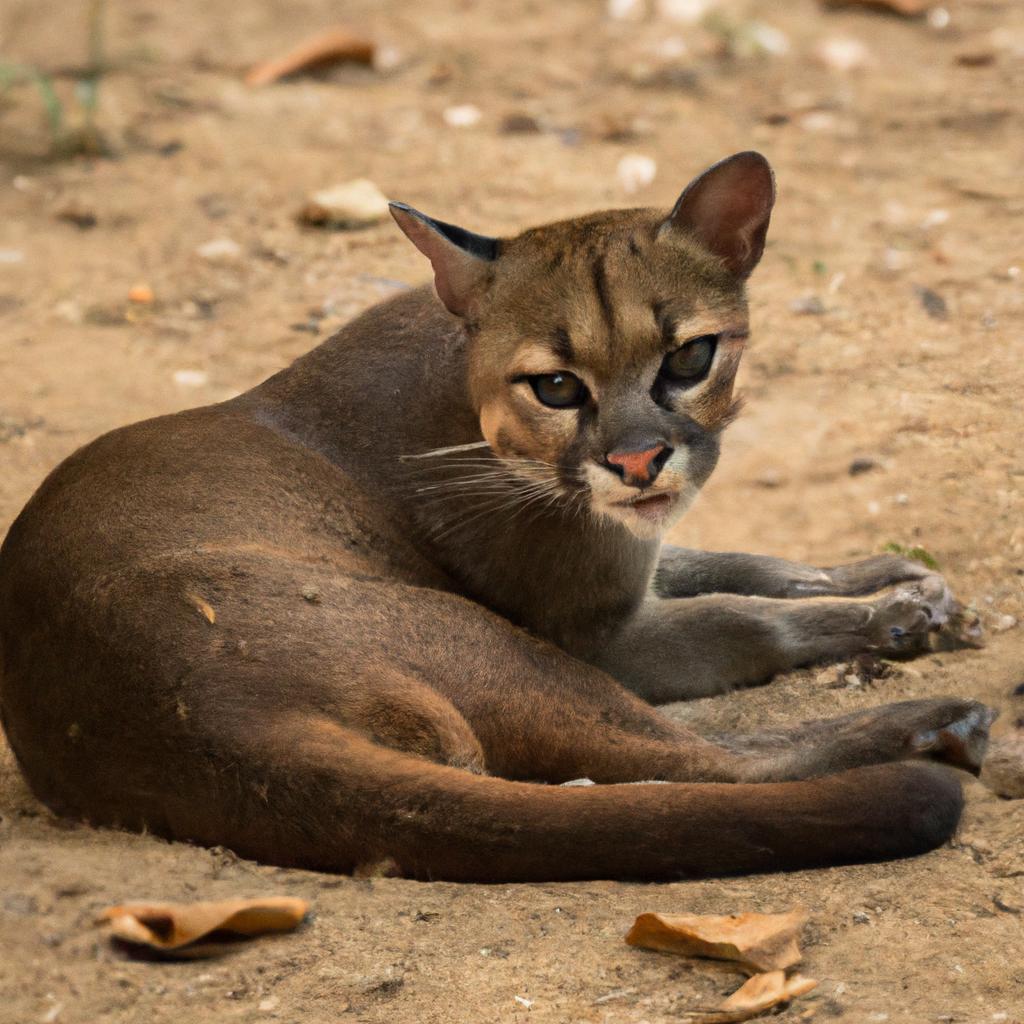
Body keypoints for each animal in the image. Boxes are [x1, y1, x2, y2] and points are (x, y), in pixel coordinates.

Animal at [0, 149, 991, 880]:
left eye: (688, 357)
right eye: (555, 385)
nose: (637, 461)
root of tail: (193, 727)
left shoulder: (630, 561)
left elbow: (739, 561)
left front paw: (902, 587)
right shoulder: (600, 632)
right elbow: (740, 614)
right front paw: (890, 612)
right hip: (487, 643)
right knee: (707, 762)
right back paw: (941, 725)